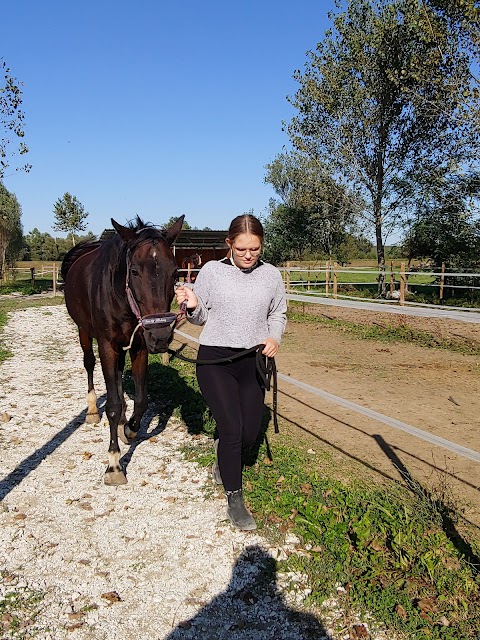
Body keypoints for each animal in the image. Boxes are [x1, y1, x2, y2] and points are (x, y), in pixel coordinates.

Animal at [61, 215, 184, 484]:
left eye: (174, 272)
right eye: (135, 271)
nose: (160, 336)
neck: (120, 297)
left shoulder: (140, 345)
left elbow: (140, 400)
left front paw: (129, 428)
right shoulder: (107, 345)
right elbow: (113, 406)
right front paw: (114, 464)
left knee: (117, 376)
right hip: (84, 332)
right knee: (89, 365)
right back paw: (93, 410)